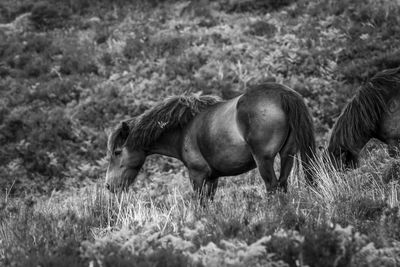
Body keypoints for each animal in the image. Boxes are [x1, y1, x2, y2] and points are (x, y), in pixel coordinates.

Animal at [105, 82, 316, 202]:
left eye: (117, 152)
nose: (108, 186)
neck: (184, 128)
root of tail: (282, 93)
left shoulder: (197, 175)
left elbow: (200, 205)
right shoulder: (213, 178)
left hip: (263, 160)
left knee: (272, 186)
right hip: (287, 155)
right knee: (282, 184)